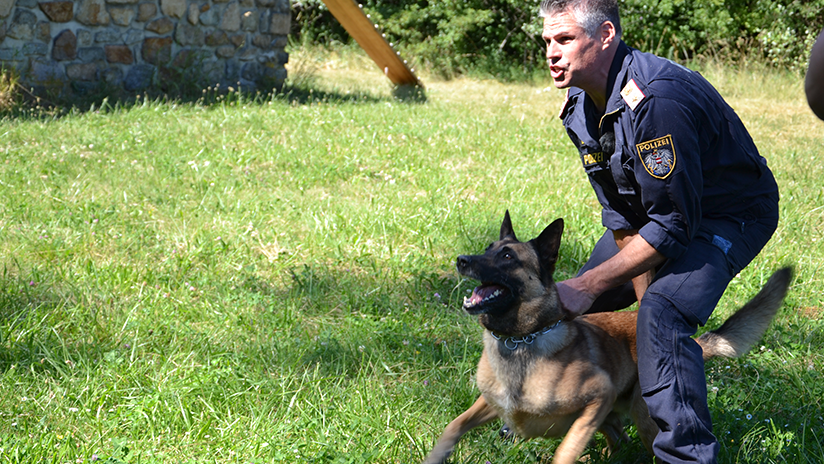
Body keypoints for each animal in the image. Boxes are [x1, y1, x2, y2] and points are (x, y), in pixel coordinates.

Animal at [424, 213, 792, 464]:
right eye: (489, 248)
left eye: (507, 257)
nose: (462, 261)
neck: (523, 339)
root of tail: (694, 344)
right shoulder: (489, 404)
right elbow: (453, 428)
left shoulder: (598, 396)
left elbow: (564, 452)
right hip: (612, 420)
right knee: (617, 439)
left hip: (646, 422)